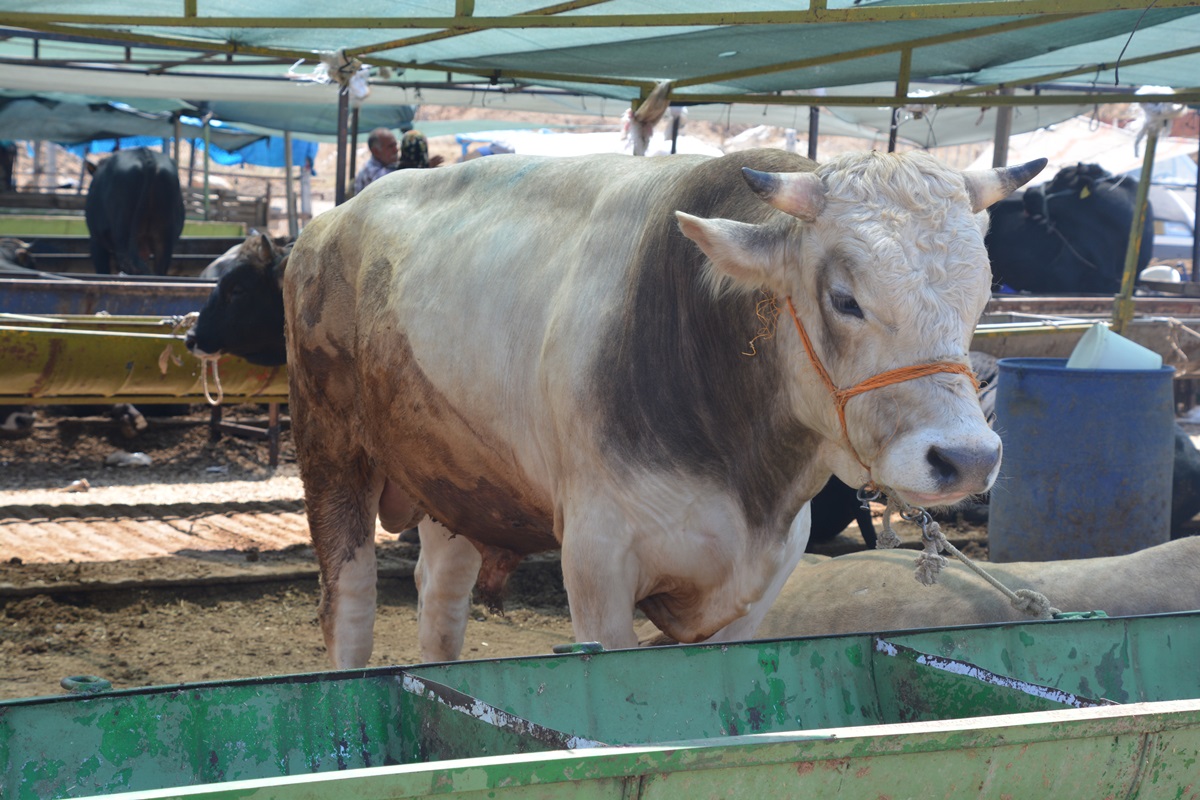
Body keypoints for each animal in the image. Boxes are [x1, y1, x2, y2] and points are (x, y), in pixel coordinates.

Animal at [85, 148, 184, 277]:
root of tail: (146, 154)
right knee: (160, 266)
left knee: (129, 263)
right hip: (165, 235)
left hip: (122, 231)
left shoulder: (96, 239)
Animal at [280, 146, 1041, 666]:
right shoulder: (596, 563)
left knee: (440, 601)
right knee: (349, 613)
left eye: (982, 296)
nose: (967, 459)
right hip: (331, 455)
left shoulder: (764, 580)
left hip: (458, 484)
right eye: (845, 298)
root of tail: (325, 229)